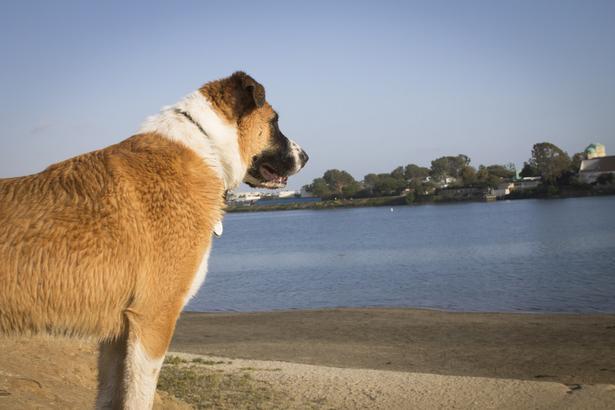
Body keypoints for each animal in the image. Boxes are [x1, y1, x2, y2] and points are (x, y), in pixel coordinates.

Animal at [0, 72, 308, 408]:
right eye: (275, 120)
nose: (305, 157)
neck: (206, 148)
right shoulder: (153, 319)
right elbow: (139, 397)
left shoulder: (116, 335)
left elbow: (109, 396)